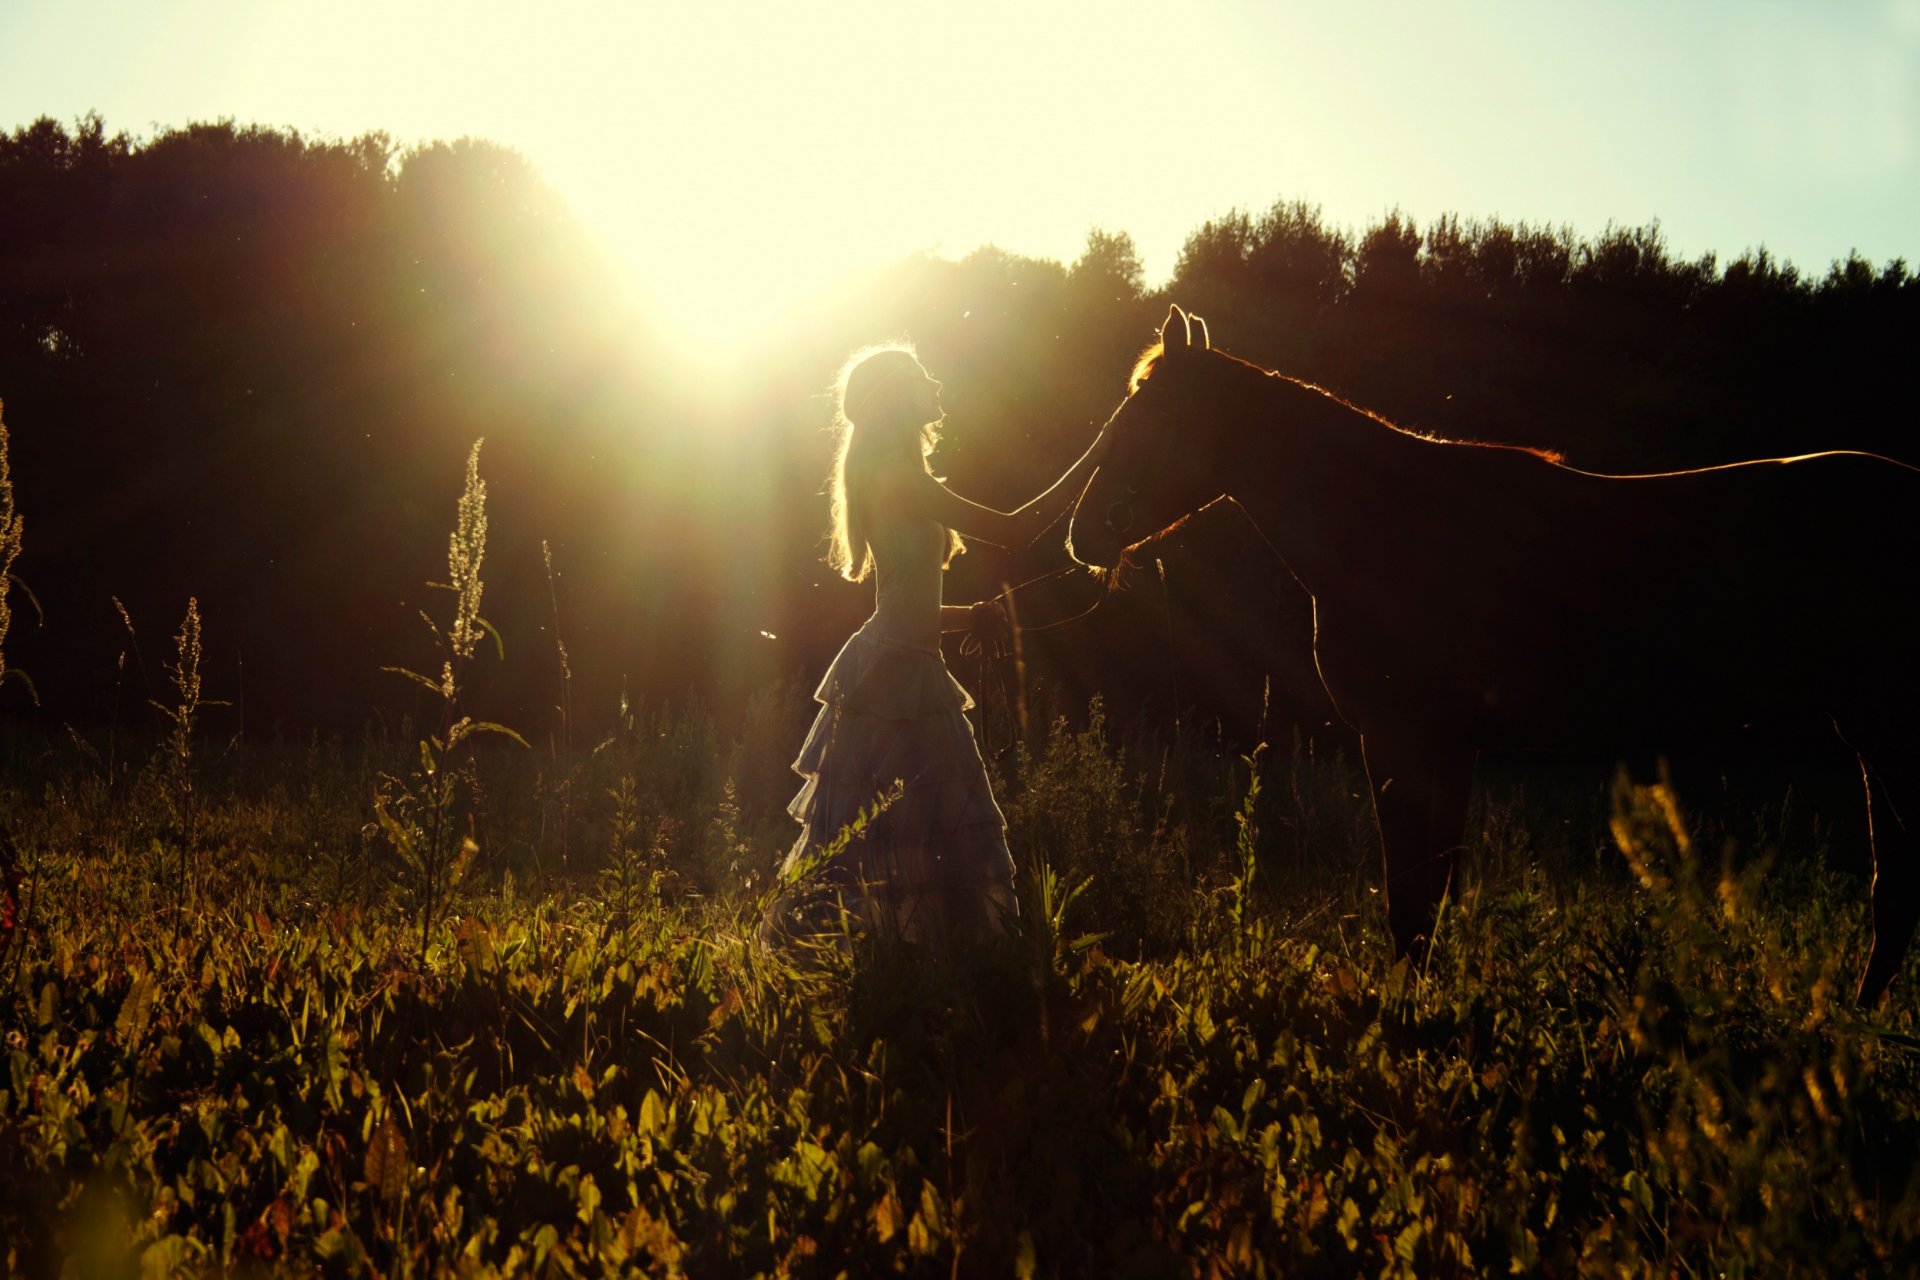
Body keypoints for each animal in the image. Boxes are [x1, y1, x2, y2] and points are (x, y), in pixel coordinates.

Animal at [1068, 304, 1920, 1005]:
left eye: (1147, 416)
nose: (1083, 535)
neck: (1386, 523)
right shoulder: (1448, 748)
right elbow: (1428, 892)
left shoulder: (1405, 740)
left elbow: (1411, 895)